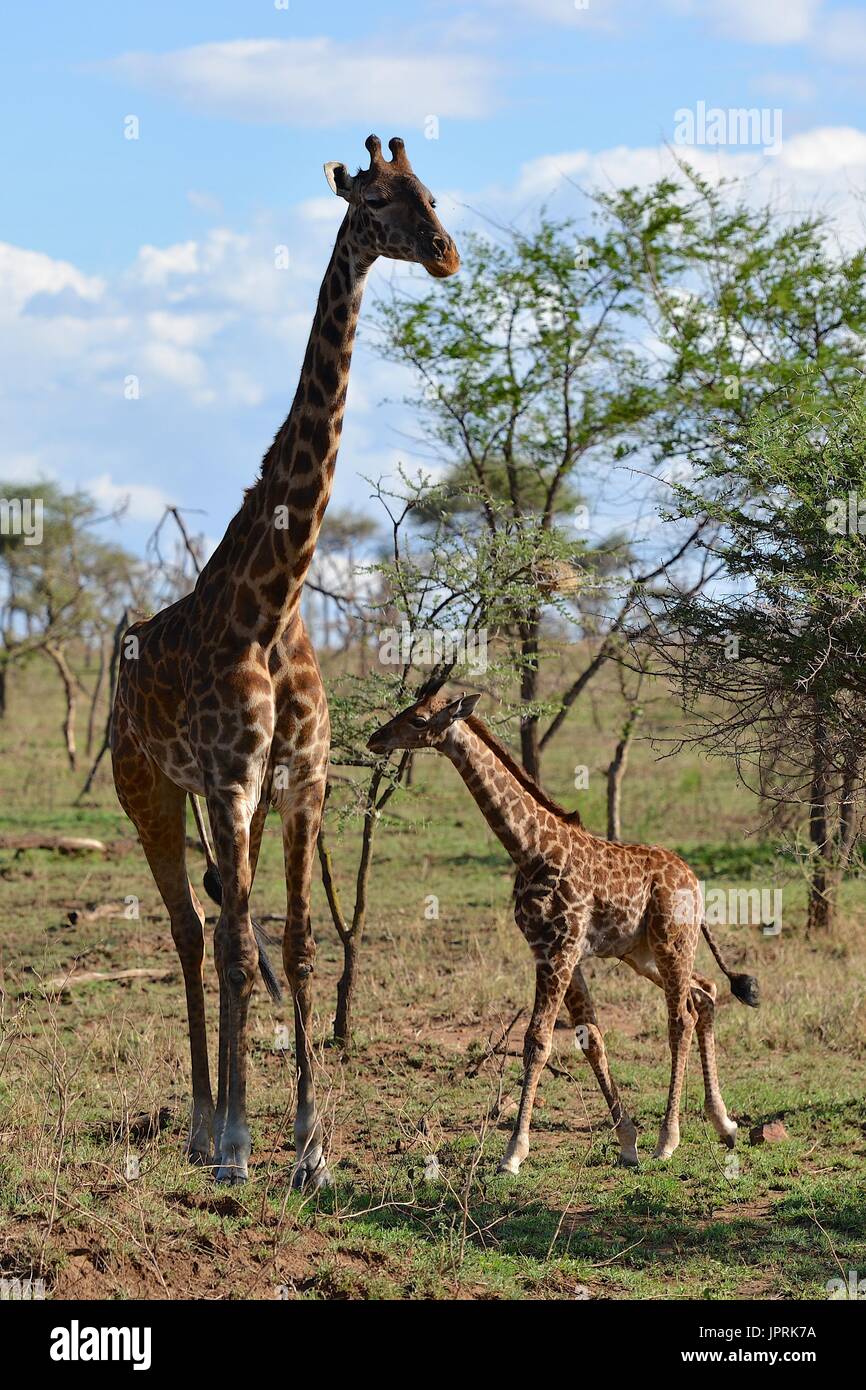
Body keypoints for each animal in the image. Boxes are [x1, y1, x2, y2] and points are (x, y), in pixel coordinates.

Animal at [113, 135, 461, 1189]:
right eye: (376, 200)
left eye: (433, 191)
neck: (277, 599)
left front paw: (309, 1148)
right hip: (147, 790)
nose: (446, 253)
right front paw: (236, 1146)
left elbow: (298, 945)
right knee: (195, 935)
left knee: (232, 921)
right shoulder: (227, 780)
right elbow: (234, 946)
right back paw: (200, 1125)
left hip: (238, 805)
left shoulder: (297, 780)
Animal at [366, 695, 756, 1173]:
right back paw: (725, 1124)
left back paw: (669, 1139)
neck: (529, 849)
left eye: (419, 719)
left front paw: (513, 1153)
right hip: (642, 953)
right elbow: (592, 1038)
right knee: (706, 993)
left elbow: (537, 1041)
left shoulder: (562, 949)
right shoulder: (549, 950)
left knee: (680, 1017)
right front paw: (627, 1142)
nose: (376, 739)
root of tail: (694, 879)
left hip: (671, 942)